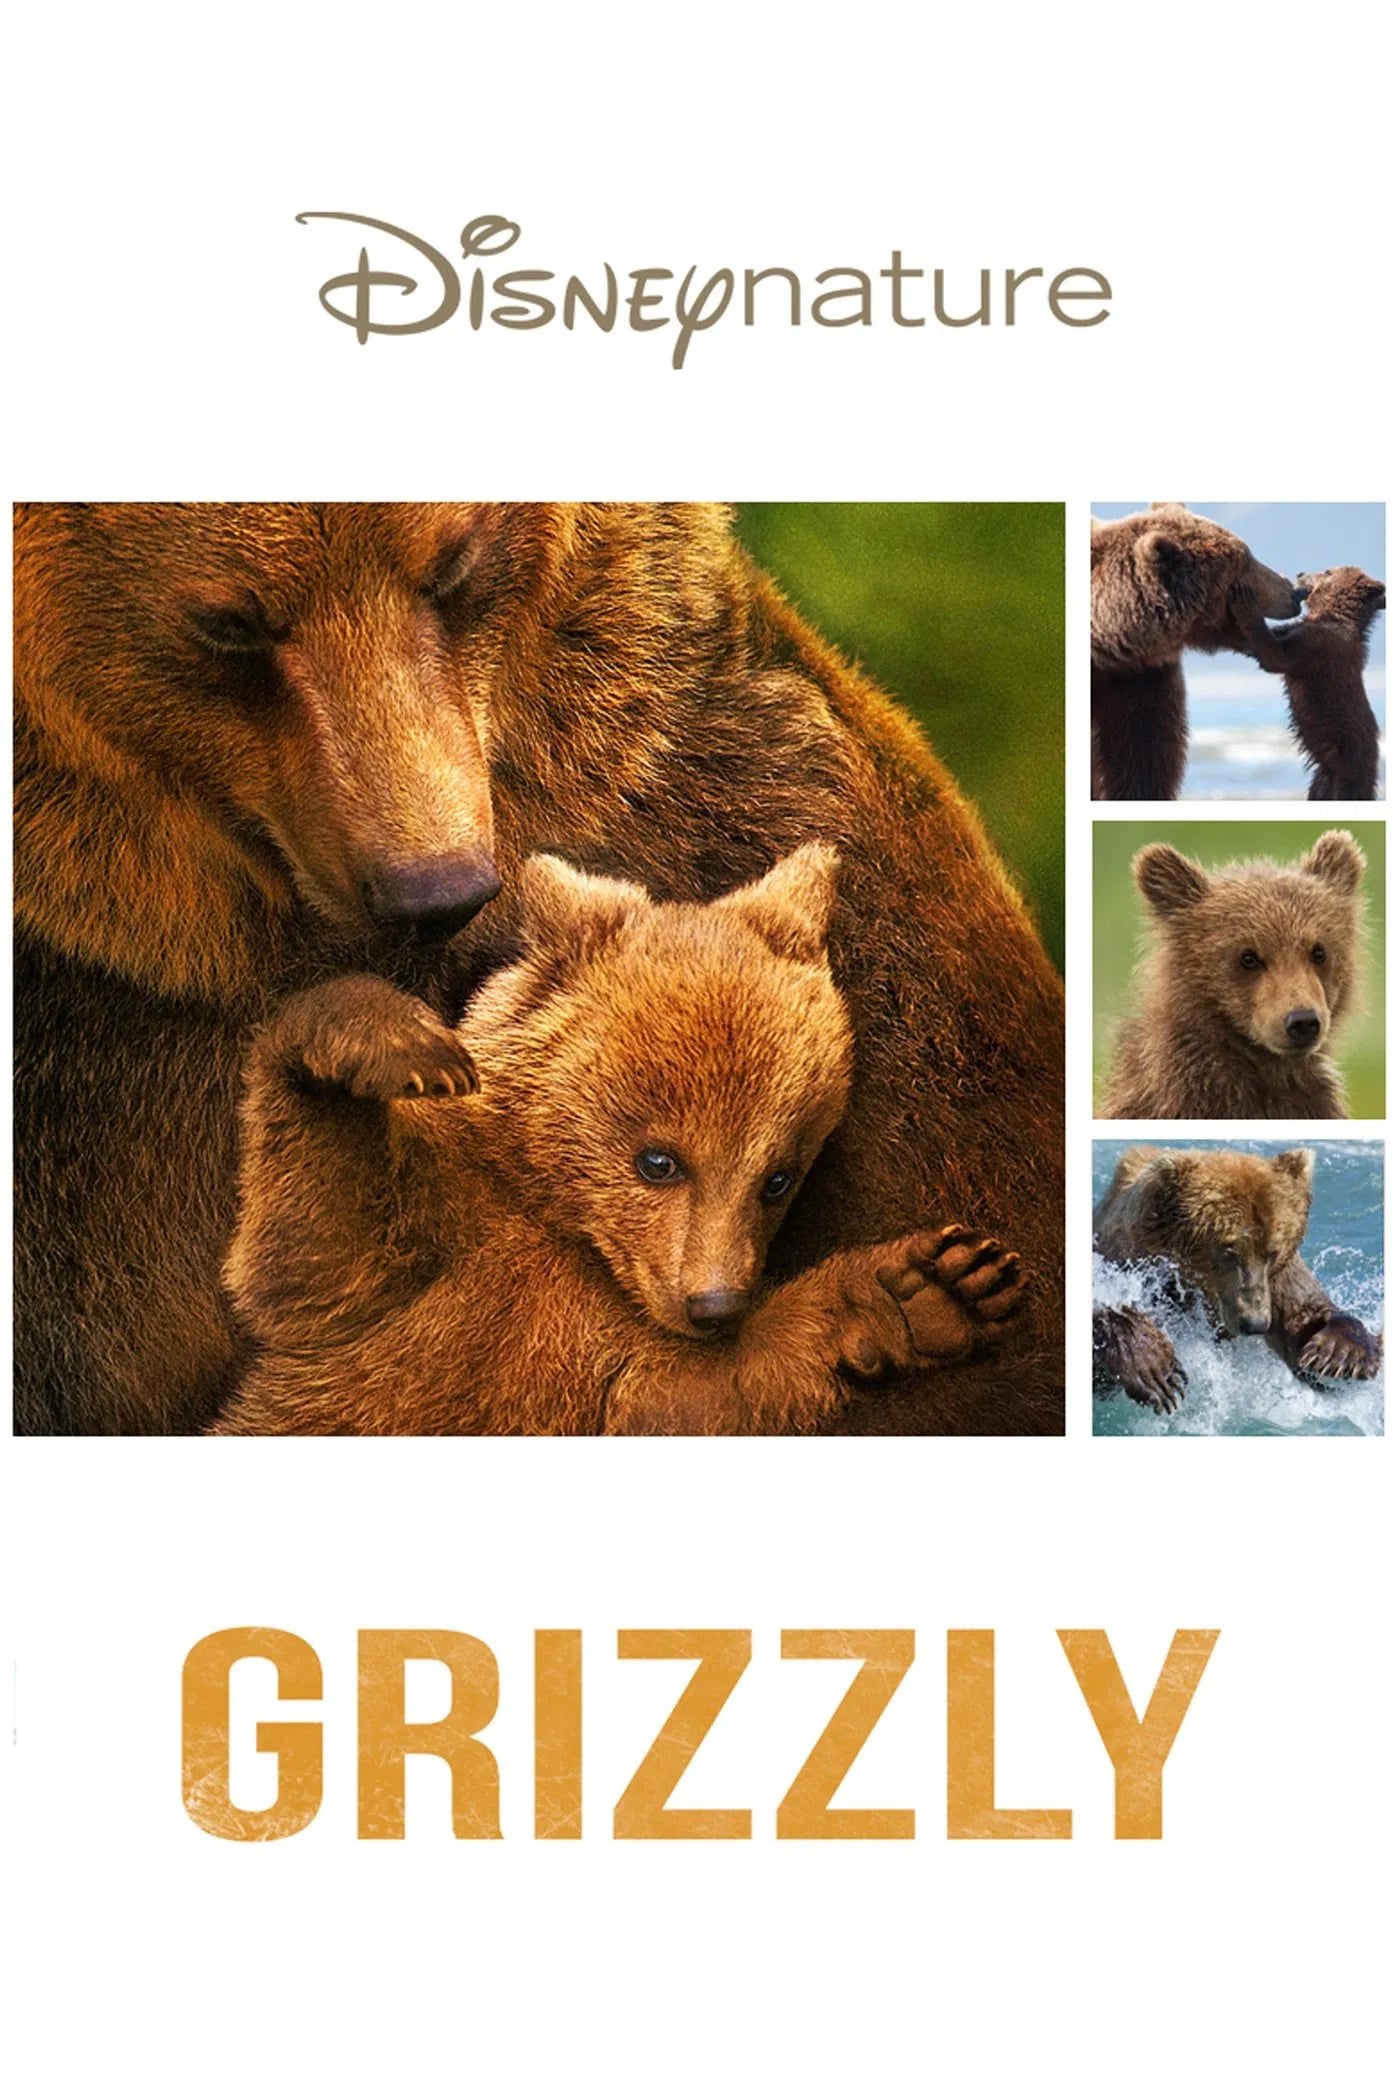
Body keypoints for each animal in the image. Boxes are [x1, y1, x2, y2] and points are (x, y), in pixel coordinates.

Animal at [212, 847, 1026, 1436]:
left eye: (778, 1177)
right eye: (658, 1160)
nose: (715, 1302)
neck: (559, 1225)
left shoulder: (605, 1353)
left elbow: (699, 1393)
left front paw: (935, 1288)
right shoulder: (421, 1258)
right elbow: (312, 1245)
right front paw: (395, 1043)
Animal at [1093, 1145, 1381, 1414]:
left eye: (1272, 1251)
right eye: (1228, 1250)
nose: (1255, 1323)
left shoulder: (1276, 1279)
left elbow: (1304, 1315)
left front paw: (1338, 1356)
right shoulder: (1125, 1259)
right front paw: (1157, 1371)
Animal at [1230, 566, 1386, 801]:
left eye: (1327, 571)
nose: (1300, 573)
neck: (1334, 614)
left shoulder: (1320, 645)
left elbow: (1276, 657)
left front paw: (1246, 602)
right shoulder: (1302, 631)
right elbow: (1269, 641)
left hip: (1349, 766)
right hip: (1322, 782)